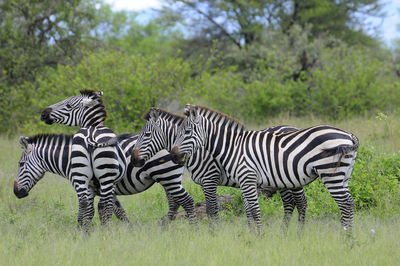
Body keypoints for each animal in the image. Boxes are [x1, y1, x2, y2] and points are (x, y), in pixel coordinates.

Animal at [39, 91, 196, 227]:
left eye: (68, 105)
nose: (43, 114)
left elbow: (105, 209)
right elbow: (113, 210)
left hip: (167, 176)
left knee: (183, 201)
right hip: (168, 178)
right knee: (174, 202)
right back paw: (165, 224)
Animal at [130, 108, 308, 231]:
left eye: (146, 134)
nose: (133, 160)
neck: (199, 151)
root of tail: (292, 127)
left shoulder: (210, 179)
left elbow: (211, 210)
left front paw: (213, 233)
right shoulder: (206, 182)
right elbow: (214, 209)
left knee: (298, 201)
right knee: (290, 203)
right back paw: (284, 231)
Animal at [171, 105, 360, 232]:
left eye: (187, 132)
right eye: (177, 132)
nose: (173, 156)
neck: (233, 147)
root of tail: (349, 135)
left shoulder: (242, 177)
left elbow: (253, 210)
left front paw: (259, 236)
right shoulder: (246, 182)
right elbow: (249, 209)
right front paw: (252, 235)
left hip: (330, 174)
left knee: (344, 203)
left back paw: (345, 238)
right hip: (343, 175)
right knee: (349, 202)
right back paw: (347, 235)